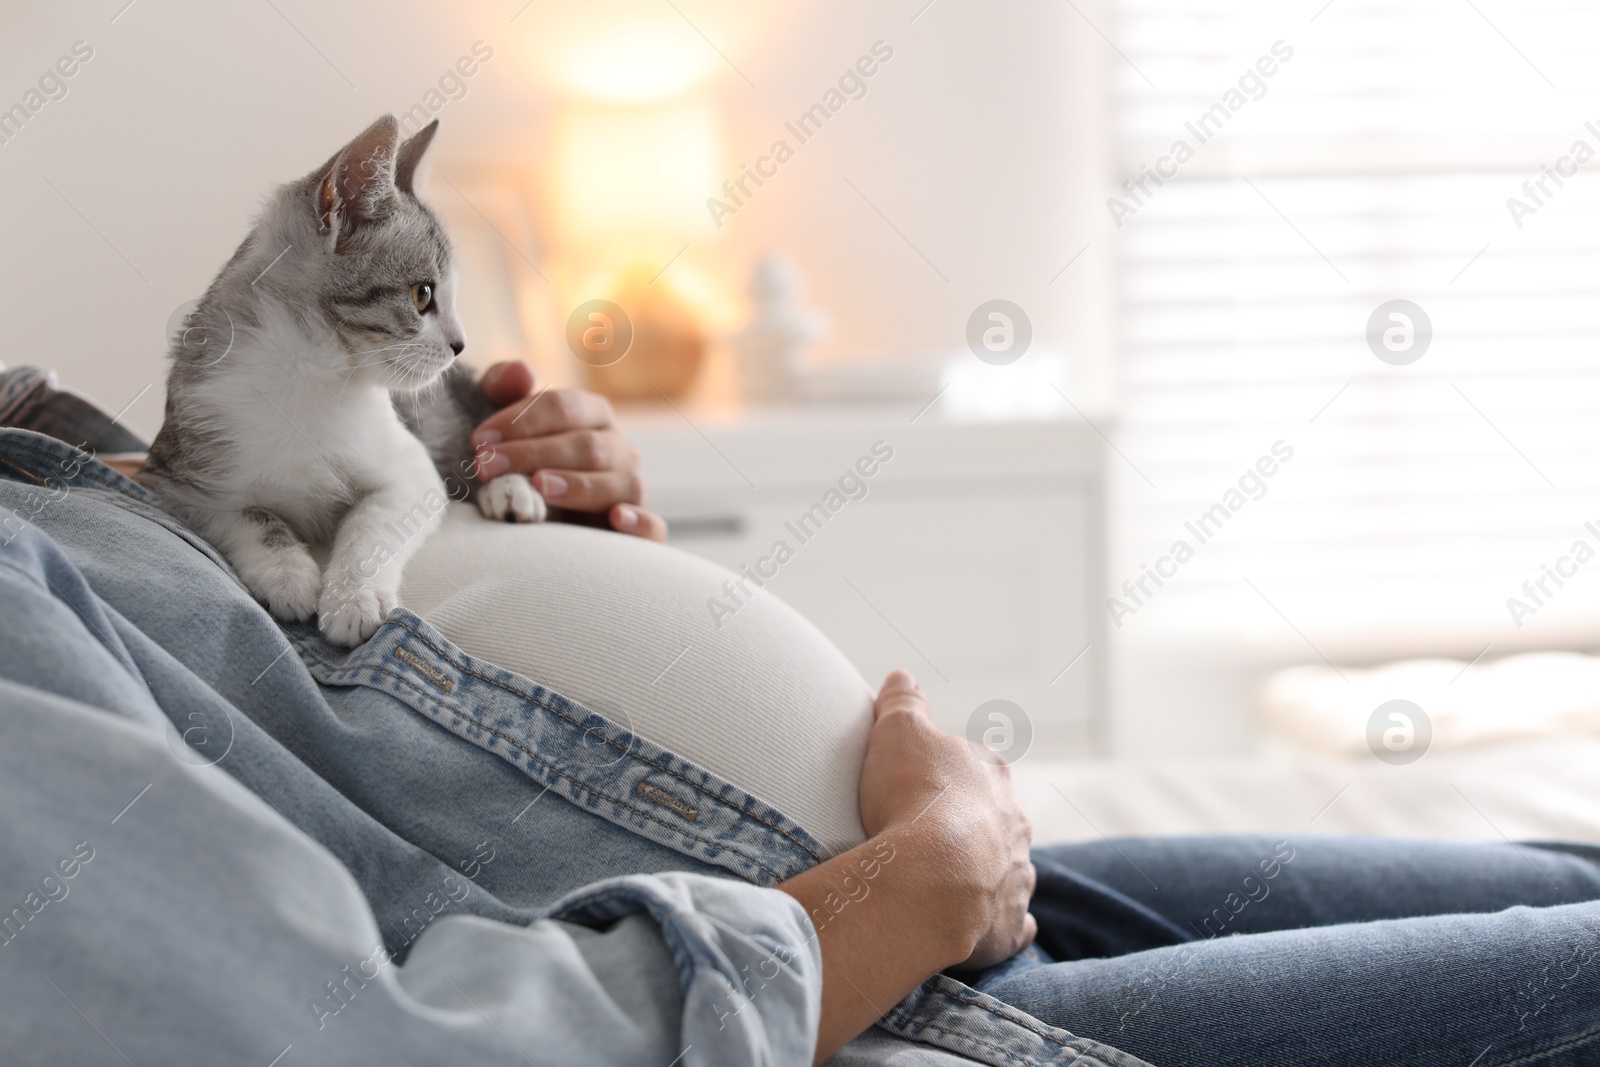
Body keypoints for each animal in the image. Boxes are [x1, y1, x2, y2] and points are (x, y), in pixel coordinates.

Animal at [144, 117, 544, 652]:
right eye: (422, 295)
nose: (461, 344)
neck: (310, 373)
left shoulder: (411, 473)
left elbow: (371, 523)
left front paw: (353, 597)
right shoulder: (175, 476)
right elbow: (247, 515)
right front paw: (287, 573)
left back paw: (511, 490)